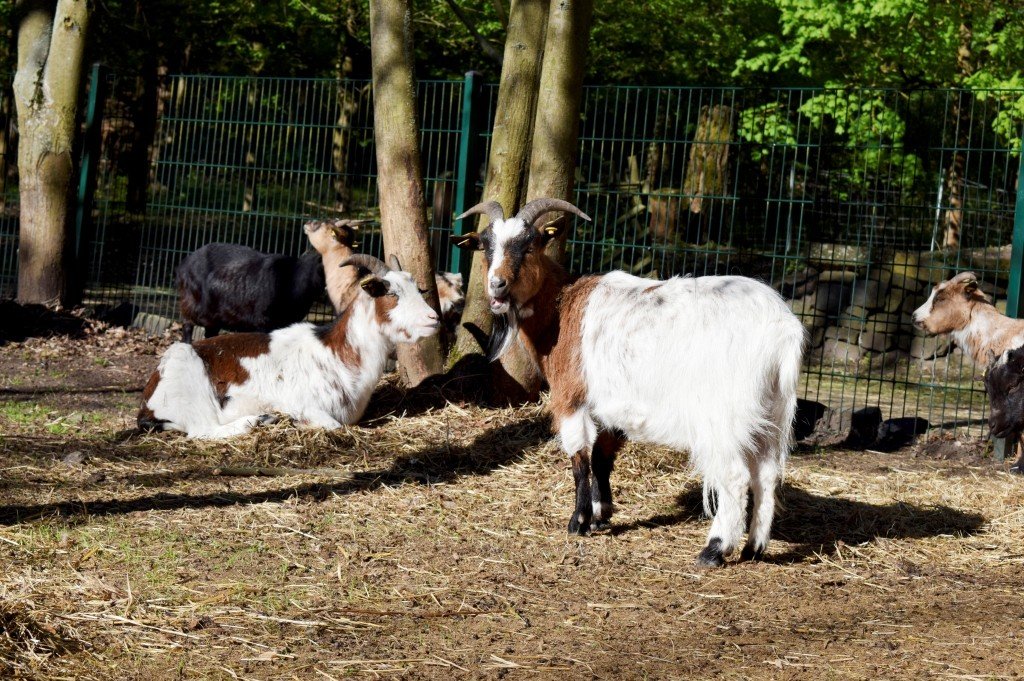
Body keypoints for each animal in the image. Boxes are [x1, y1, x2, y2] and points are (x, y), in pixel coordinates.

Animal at [139, 255, 440, 439]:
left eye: (418, 289)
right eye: (391, 292)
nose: (433, 318)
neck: (335, 354)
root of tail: (149, 397)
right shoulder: (305, 404)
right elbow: (334, 426)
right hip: (193, 388)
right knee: (203, 430)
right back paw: (258, 420)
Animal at [176, 219, 360, 342]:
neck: (293, 277)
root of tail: (185, 263)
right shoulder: (263, 322)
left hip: (213, 319)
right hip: (189, 307)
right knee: (187, 329)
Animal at [453, 198, 806, 567]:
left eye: (531, 244)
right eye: (485, 245)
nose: (497, 285)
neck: (562, 308)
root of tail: (781, 329)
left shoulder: (571, 396)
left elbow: (579, 458)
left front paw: (578, 521)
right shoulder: (614, 406)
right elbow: (601, 457)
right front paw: (601, 513)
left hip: (722, 416)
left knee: (735, 477)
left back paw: (714, 549)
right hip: (772, 410)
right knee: (766, 474)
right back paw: (755, 547)